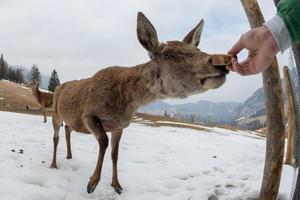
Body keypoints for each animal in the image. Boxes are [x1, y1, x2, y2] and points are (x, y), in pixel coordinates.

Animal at [50, 11, 230, 195]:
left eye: (197, 49)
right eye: (167, 54)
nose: (218, 62)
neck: (125, 103)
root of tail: (58, 88)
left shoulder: (119, 126)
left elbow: (115, 154)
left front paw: (116, 185)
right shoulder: (88, 114)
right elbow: (104, 142)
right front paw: (92, 183)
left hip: (72, 121)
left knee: (68, 128)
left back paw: (69, 155)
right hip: (55, 113)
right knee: (56, 136)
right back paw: (54, 164)